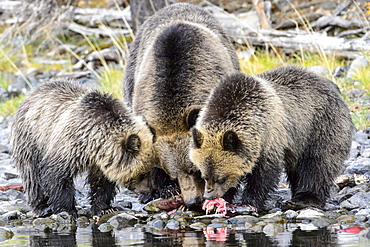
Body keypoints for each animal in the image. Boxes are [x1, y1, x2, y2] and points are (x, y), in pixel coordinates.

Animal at [10, 79, 155, 216]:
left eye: (150, 169)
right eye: (142, 172)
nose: (148, 191)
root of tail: (31, 93)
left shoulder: (100, 160)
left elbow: (101, 183)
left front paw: (104, 208)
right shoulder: (71, 145)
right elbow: (56, 176)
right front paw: (67, 210)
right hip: (31, 139)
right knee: (32, 176)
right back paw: (42, 207)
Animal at [191, 66, 352, 210]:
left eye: (221, 178)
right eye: (204, 176)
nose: (208, 195)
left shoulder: (270, 137)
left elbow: (264, 175)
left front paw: (249, 202)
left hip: (321, 128)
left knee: (318, 165)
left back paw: (305, 198)